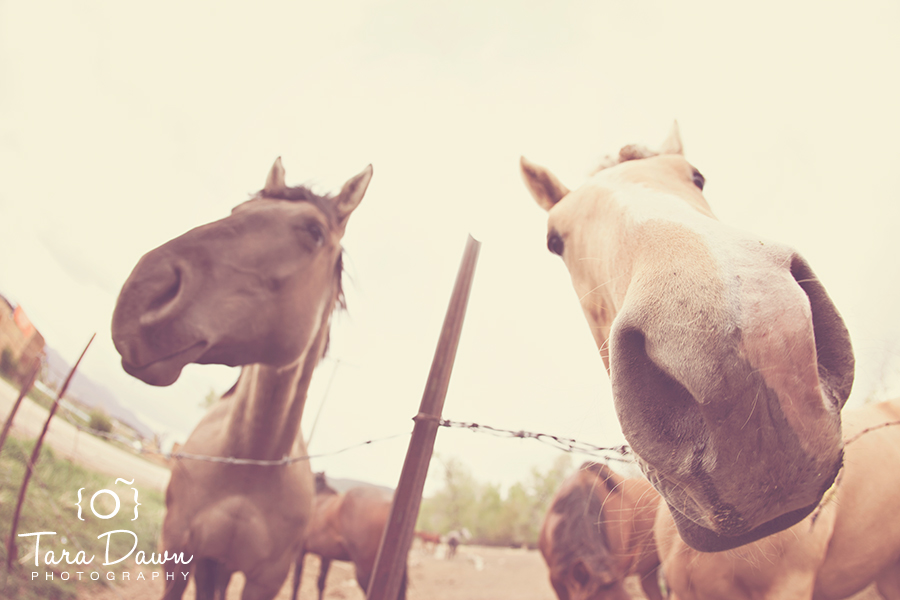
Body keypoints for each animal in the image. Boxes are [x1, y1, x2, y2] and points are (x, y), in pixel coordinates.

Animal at [111, 157, 372, 596]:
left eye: (314, 232)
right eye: (238, 211)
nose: (143, 292)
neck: (248, 466)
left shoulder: (266, 579)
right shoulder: (178, 553)